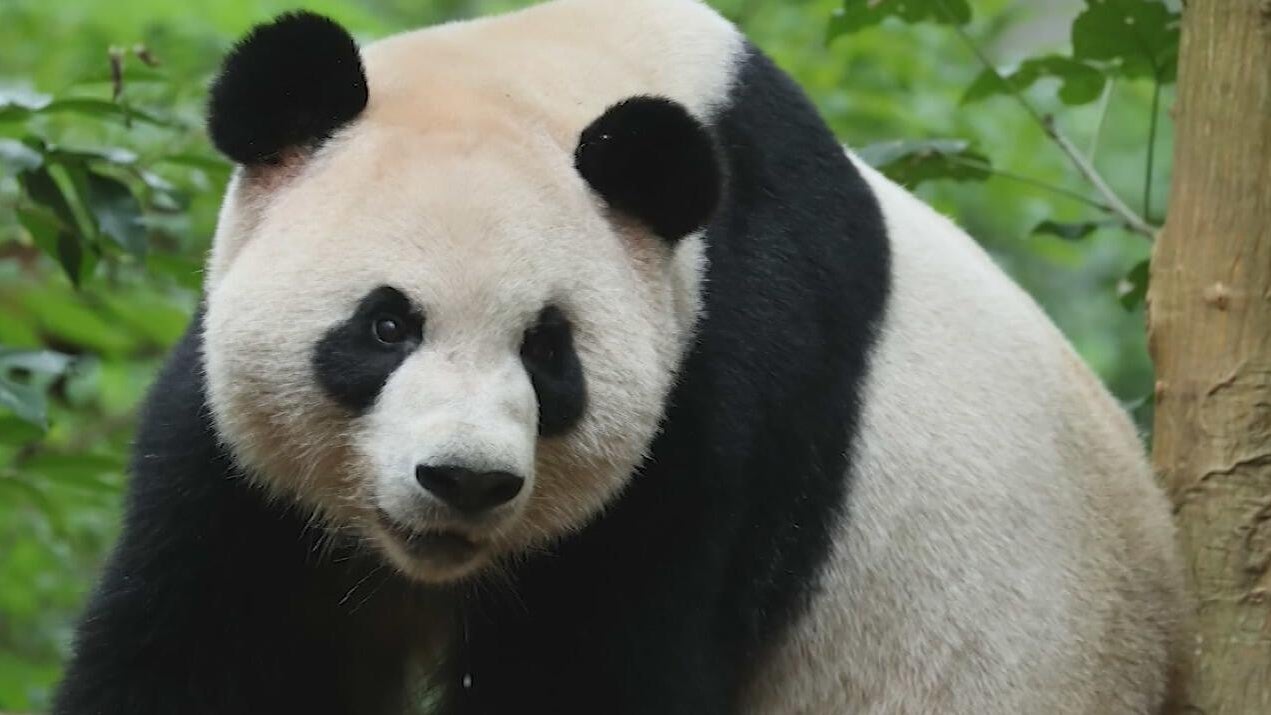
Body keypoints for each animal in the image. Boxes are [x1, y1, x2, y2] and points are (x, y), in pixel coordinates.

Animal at [52, 1, 1189, 713]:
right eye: (385, 326)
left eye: (548, 351)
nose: (463, 481)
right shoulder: (243, 468)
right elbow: (215, 646)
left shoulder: (724, 394)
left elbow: (593, 672)